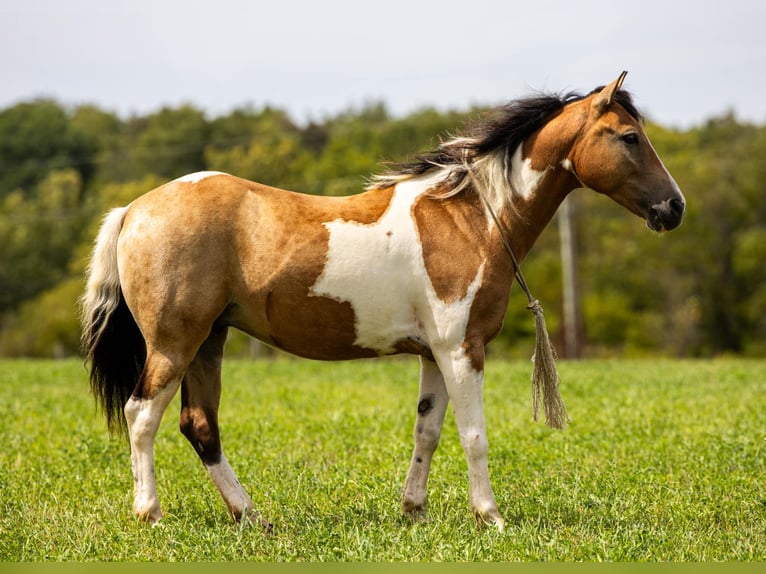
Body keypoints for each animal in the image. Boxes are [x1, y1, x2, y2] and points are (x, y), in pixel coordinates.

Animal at [81, 71, 688, 532]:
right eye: (629, 137)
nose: (674, 207)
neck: (468, 217)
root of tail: (133, 210)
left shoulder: (434, 354)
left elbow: (429, 432)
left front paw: (413, 511)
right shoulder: (463, 350)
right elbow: (474, 436)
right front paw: (490, 517)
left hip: (210, 341)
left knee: (200, 426)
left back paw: (253, 517)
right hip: (174, 344)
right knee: (142, 416)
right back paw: (151, 514)